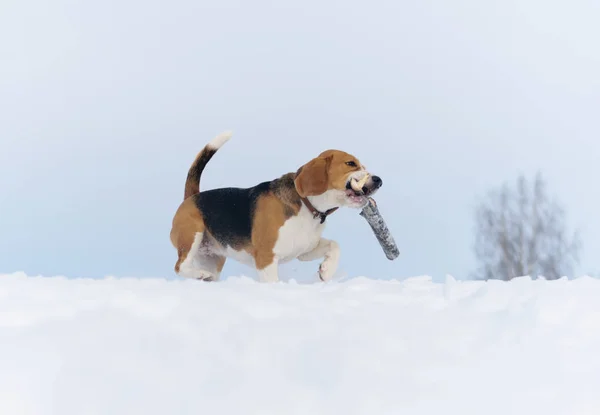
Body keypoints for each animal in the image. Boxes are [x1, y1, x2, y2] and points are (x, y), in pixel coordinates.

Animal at [171, 132, 382, 284]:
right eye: (351, 163)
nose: (379, 180)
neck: (308, 207)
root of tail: (192, 196)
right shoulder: (266, 258)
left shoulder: (304, 250)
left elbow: (334, 245)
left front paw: (326, 271)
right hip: (192, 236)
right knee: (179, 266)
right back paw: (200, 274)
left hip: (212, 257)